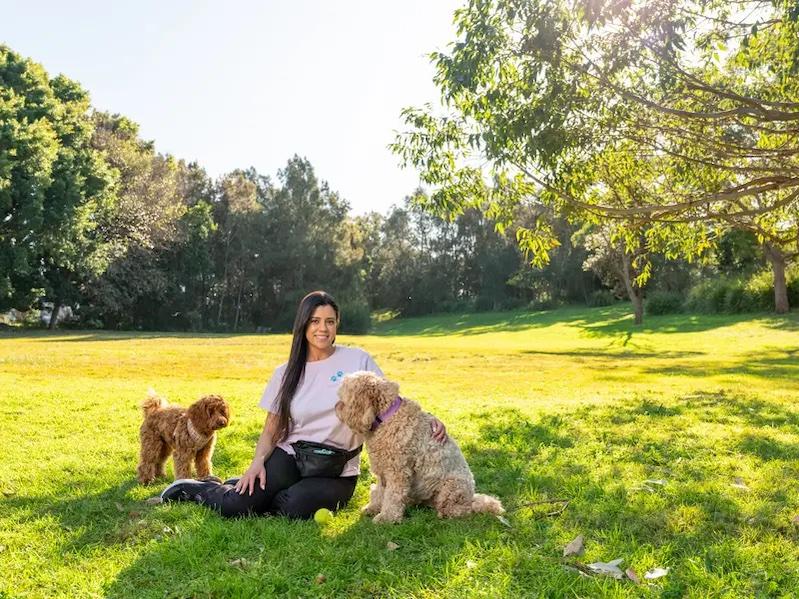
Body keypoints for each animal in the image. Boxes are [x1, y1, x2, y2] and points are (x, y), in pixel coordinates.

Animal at [334, 372, 504, 524]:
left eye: (343, 398)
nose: (336, 406)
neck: (386, 418)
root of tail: (471, 497)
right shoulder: (383, 471)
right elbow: (380, 493)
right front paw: (373, 508)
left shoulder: (398, 471)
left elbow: (392, 496)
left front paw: (387, 517)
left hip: (452, 487)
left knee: (462, 510)